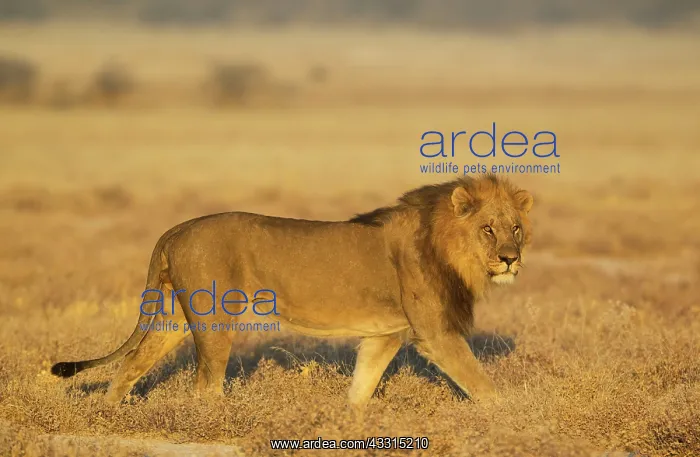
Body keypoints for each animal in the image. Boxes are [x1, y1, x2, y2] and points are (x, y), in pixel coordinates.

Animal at [51, 174, 533, 406]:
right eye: (488, 229)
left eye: (516, 228)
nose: (511, 259)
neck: (448, 247)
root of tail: (175, 229)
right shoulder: (435, 333)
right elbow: (481, 383)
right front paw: (510, 416)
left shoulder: (384, 334)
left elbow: (363, 384)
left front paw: (349, 422)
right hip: (215, 320)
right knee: (204, 385)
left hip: (173, 314)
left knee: (131, 362)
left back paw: (109, 413)